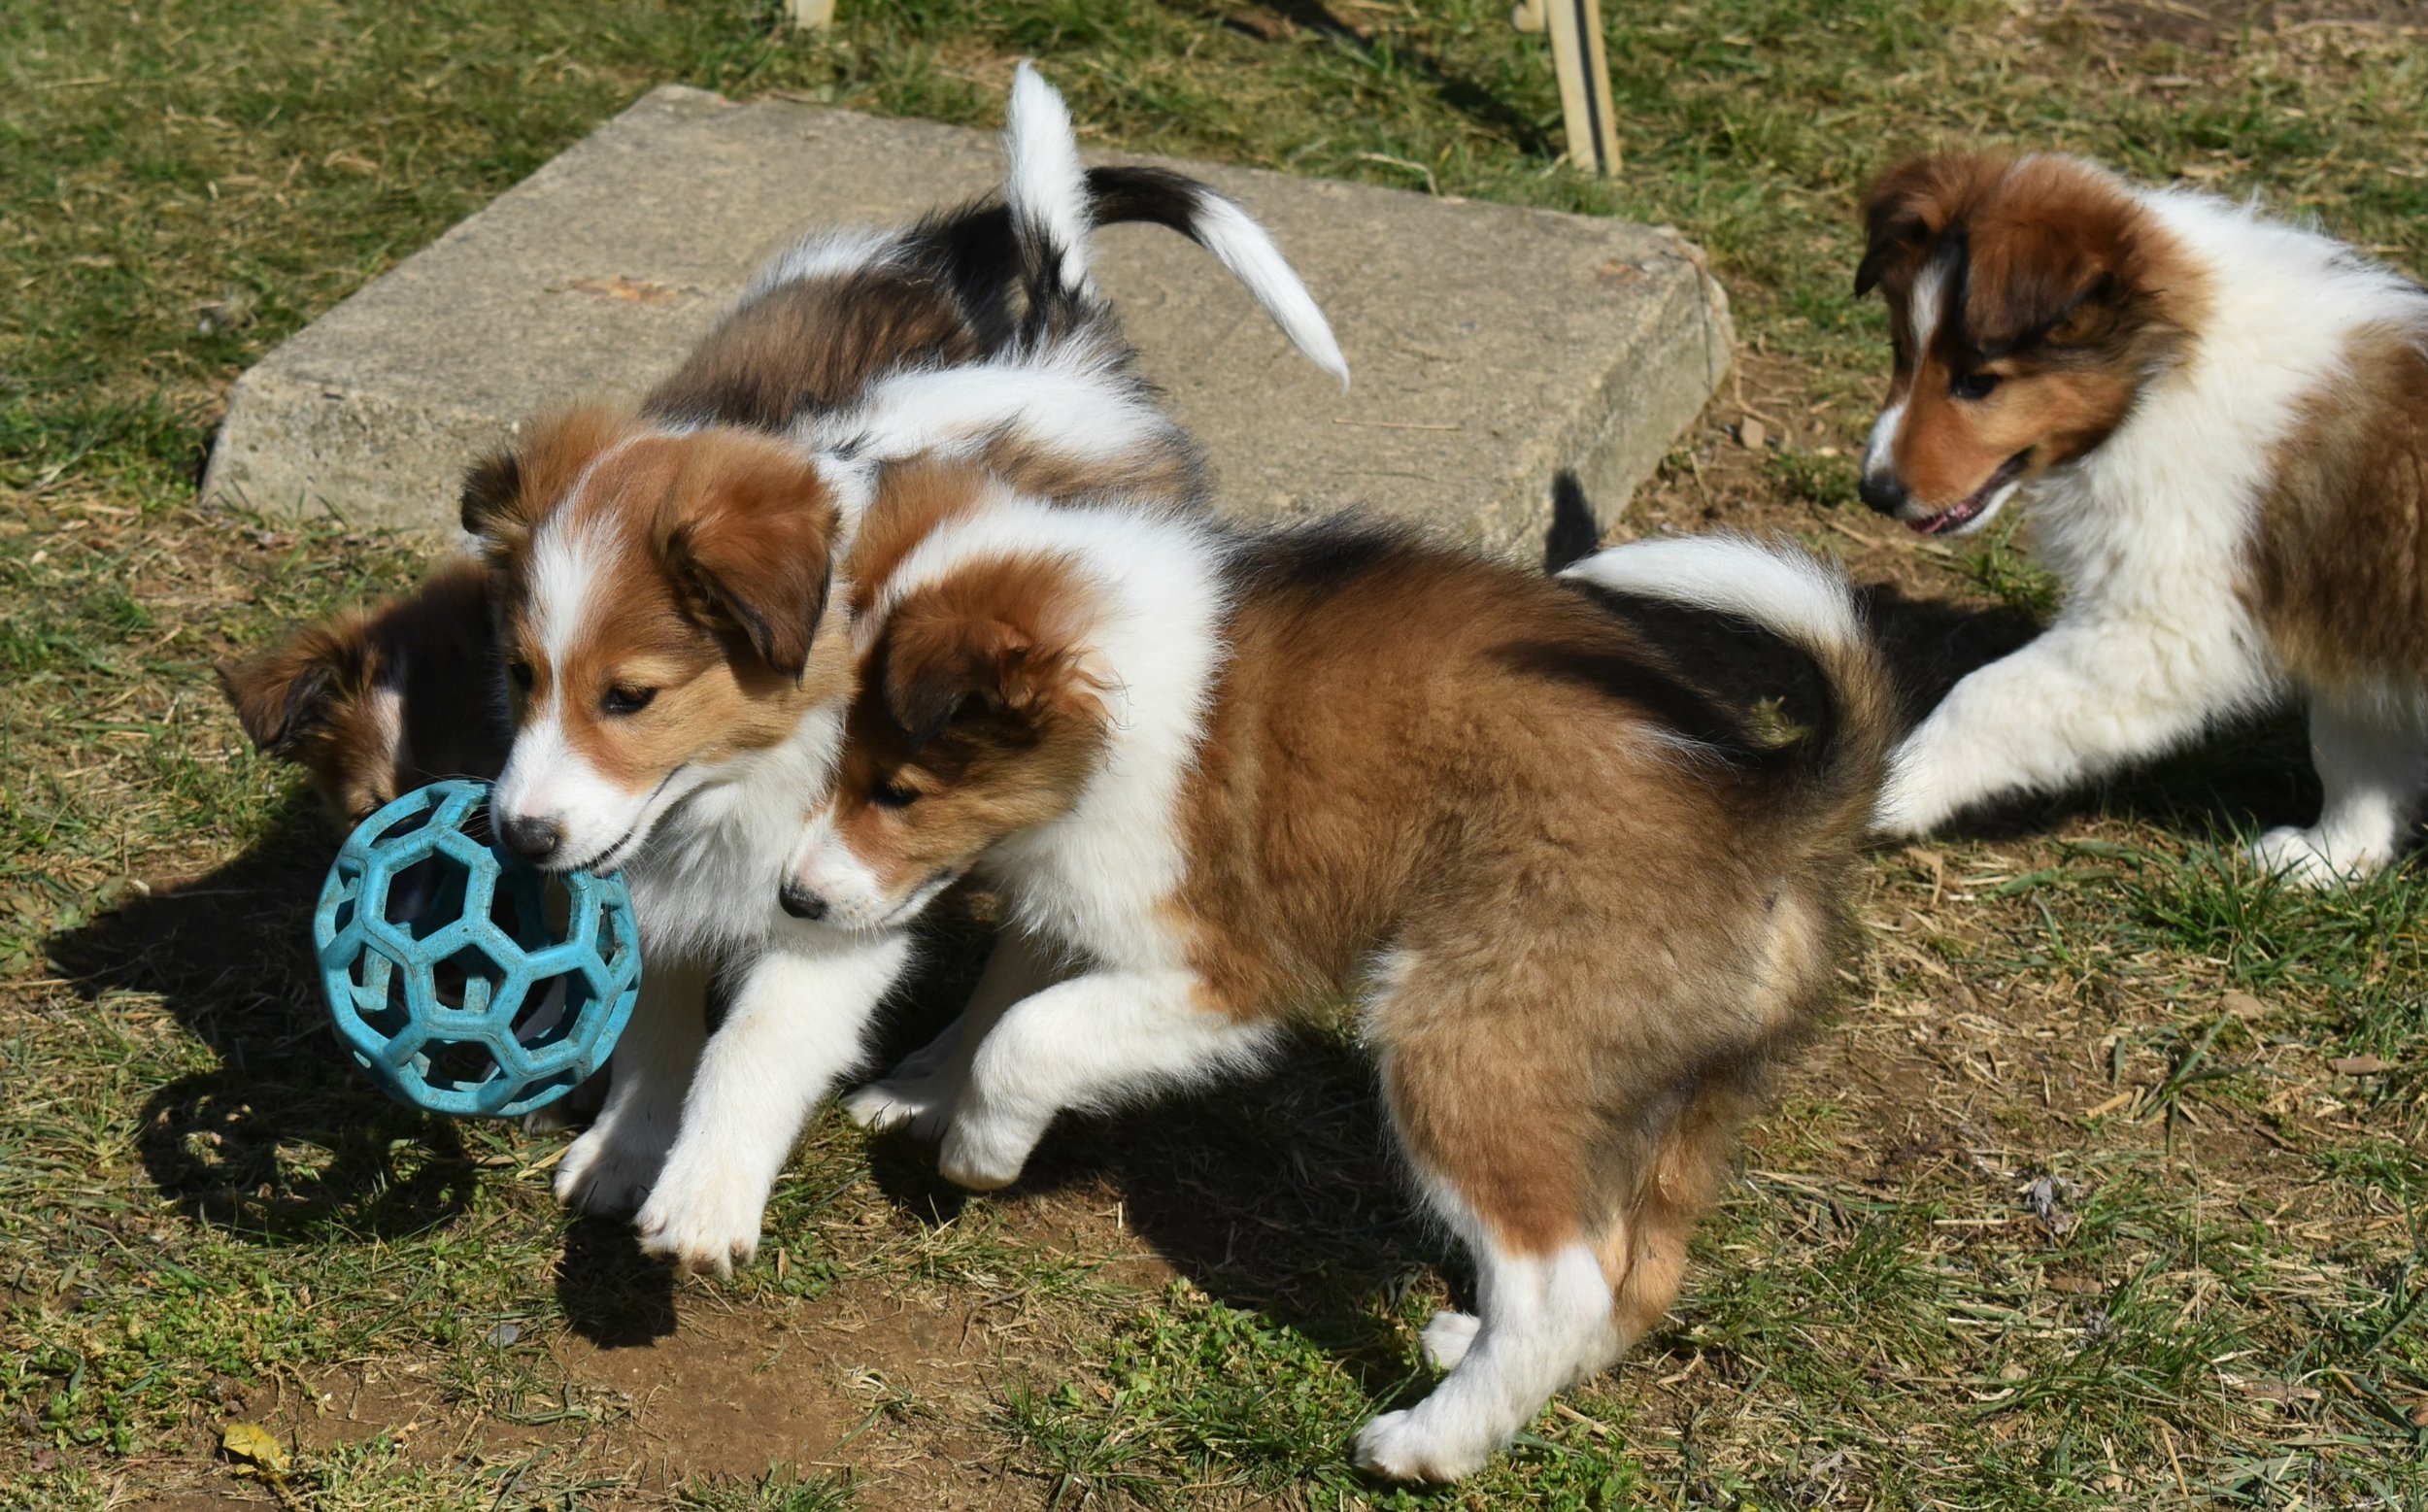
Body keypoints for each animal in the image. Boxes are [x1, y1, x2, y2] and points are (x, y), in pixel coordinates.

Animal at [468, 67, 1350, 1281]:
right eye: (518, 674)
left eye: (629, 698)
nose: (519, 837)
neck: (730, 786)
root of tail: (1061, 353)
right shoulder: (654, 882)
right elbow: (657, 1018)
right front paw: (629, 1147)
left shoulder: (839, 900)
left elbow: (754, 1044)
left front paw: (705, 1192)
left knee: (1027, 954)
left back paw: (940, 1083)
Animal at [796, 517, 1894, 1475]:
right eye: (828, 769)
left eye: (899, 791)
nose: (794, 900)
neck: (1116, 695)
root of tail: (1771, 811)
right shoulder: (1073, 902)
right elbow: (998, 992)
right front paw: (916, 1093)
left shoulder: (1223, 968)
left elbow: (1025, 1034)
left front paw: (979, 1151)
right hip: (1664, 1100)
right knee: (1639, 1270)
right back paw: (1472, 1355)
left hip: (1466, 1046)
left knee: (1560, 1285)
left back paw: (1426, 1445)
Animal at [1855, 151, 2428, 888]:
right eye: (1902, 350)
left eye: (1979, 381)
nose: (1876, 491)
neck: (2159, 374)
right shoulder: (2354, 614)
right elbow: (2355, 749)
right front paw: (2332, 853)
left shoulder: (2161, 625)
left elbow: (1988, 696)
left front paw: (1886, 789)